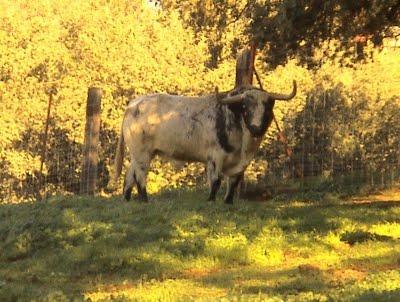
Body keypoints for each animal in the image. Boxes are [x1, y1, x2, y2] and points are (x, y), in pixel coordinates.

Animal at [114, 81, 296, 203]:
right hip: (142, 153)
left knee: (129, 175)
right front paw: (211, 200)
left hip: (139, 155)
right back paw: (144, 200)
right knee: (139, 175)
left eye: (267, 108)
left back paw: (128, 200)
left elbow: (233, 182)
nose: (256, 128)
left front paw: (228, 203)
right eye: (245, 107)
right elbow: (216, 181)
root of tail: (133, 104)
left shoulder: (240, 163)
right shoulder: (215, 157)